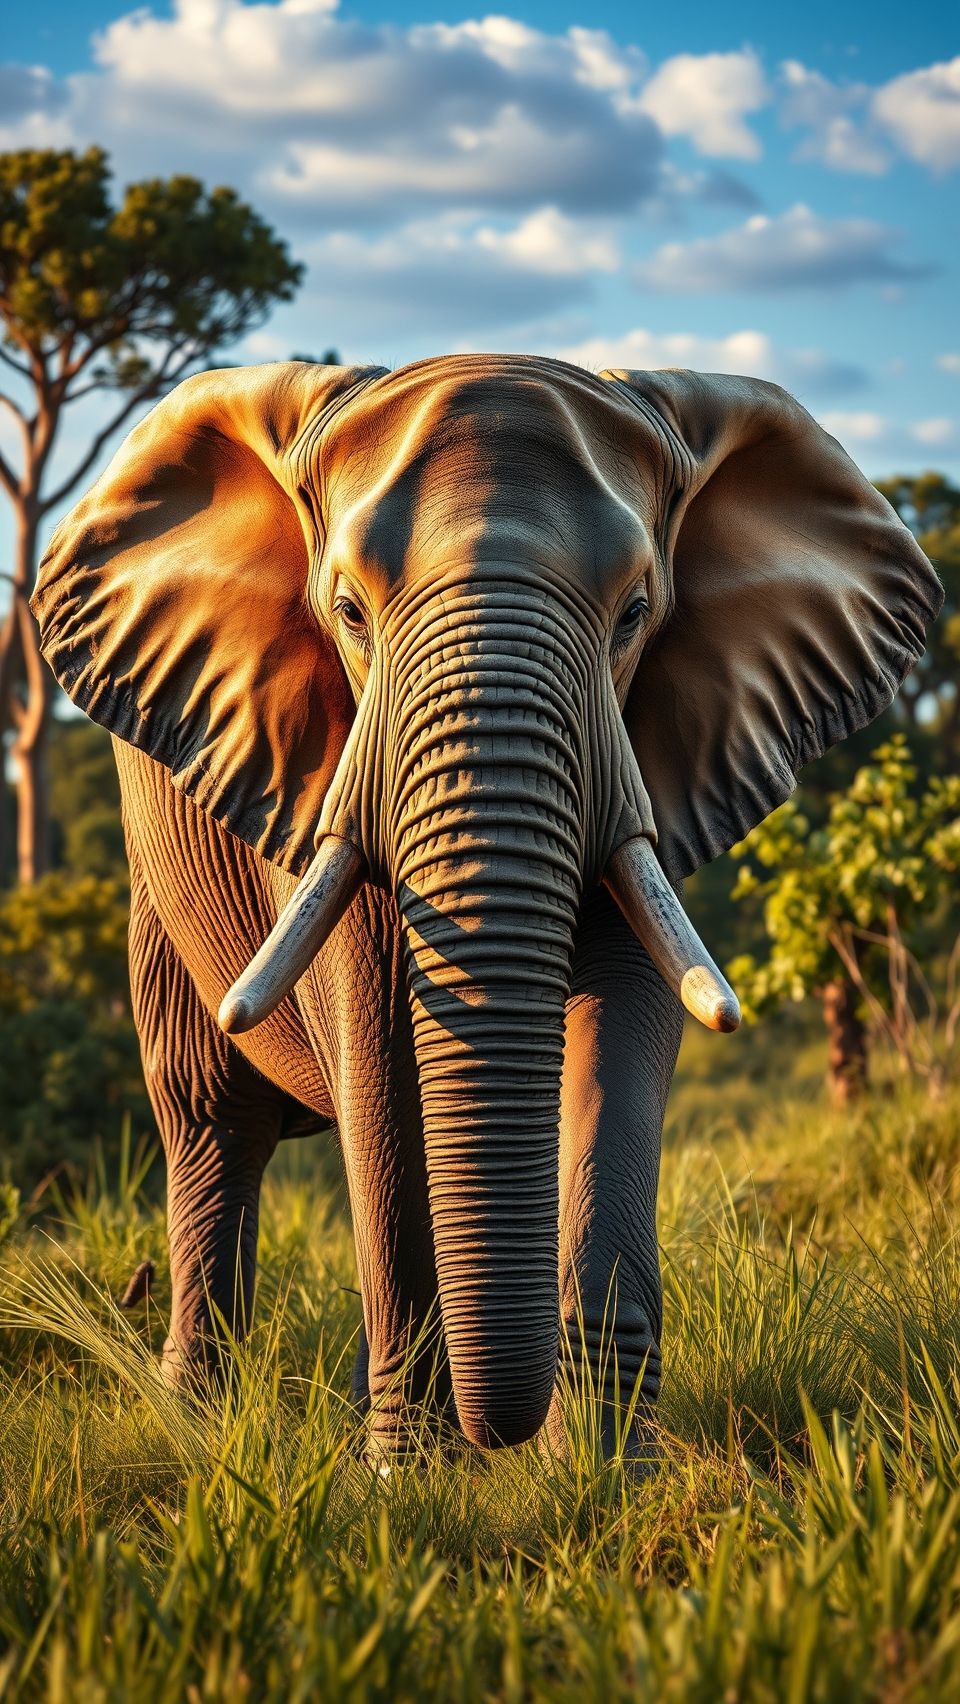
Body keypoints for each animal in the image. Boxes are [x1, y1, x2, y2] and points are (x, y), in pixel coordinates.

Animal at [32, 355, 941, 1459]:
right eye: (349, 613)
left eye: (635, 612)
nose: (502, 1434)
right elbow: (378, 1064)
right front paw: (408, 1470)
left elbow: (625, 1030)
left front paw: (604, 1467)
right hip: (156, 884)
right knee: (213, 1118)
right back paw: (202, 1420)